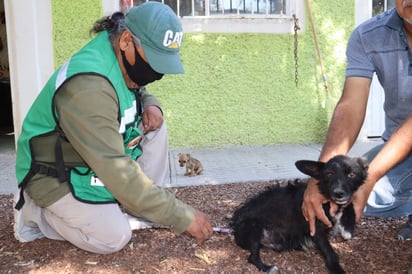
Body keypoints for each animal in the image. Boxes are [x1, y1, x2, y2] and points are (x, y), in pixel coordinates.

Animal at [230, 155, 368, 272]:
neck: (326, 199)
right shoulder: (316, 228)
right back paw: (268, 268)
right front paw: (337, 269)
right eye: (329, 174)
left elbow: (350, 204)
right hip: (252, 226)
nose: (338, 193)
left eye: (351, 174)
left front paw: (348, 226)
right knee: (252, 258)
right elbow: (330, 253)